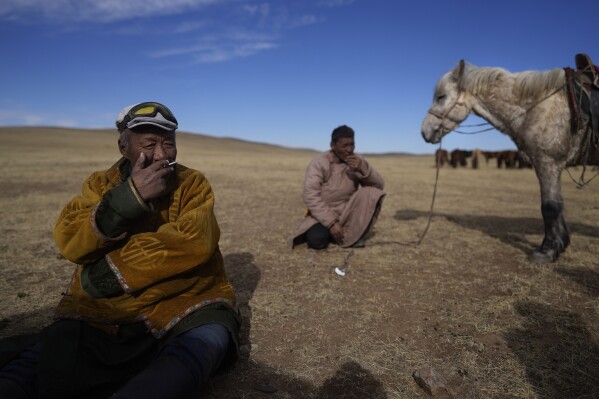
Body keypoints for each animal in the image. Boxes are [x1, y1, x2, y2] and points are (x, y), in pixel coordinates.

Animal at [422, 59, 596, 264]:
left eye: (441, 97)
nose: (424, 131)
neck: (537, 107)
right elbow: (557, 204)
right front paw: (561, 244)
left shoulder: (547, 163)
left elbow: (550, 206)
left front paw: (547, 251)